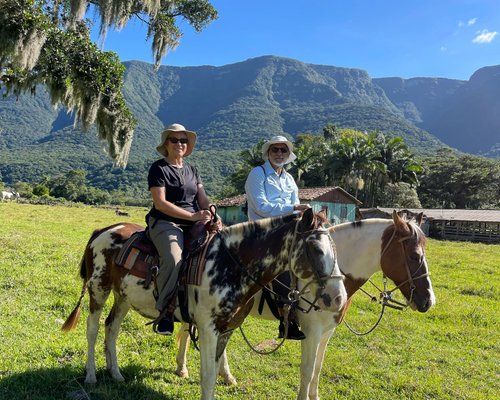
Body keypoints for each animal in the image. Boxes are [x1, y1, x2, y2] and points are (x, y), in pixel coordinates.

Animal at [178, 211, 436, 398]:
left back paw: (222, 375)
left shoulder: (327, 332)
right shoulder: (312, 331)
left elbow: (318, 369)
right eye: (414, 256)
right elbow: (308, 370)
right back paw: (182, 367)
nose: (428, 301)